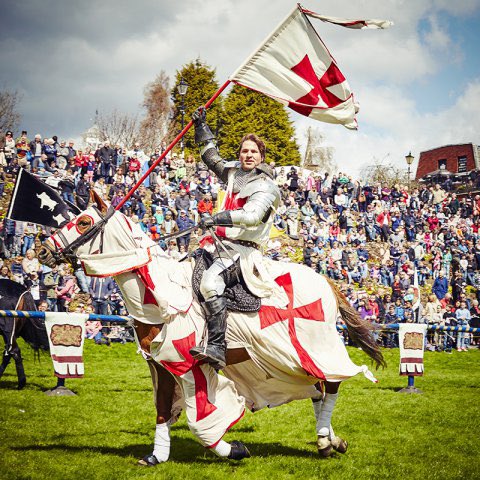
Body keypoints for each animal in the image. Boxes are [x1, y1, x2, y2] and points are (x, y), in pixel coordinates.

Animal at [37, 192, 384, 464]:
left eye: (83, 222)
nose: (43, 250)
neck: (163, 295)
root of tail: (324, 280)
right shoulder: (161, 366)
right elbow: (162, 409)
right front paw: (156, 456)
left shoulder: (190, 366)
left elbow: (200, 421)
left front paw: (234, 450)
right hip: (291, 358)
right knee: (319, 389)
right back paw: (331, 441)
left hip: (313, 346)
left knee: (332, 382)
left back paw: (325, 440)